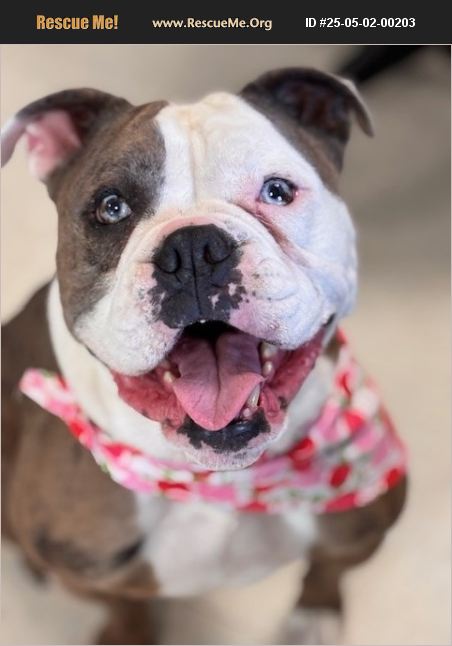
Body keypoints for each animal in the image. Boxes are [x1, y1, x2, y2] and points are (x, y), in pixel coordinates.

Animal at [1, 68, 407, 644]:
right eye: (111, 207)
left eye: (278, 191)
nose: (192, 249)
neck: (221, 481)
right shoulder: (84, 570)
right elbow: (122, 603)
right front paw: (128, 633)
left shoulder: (362, 524)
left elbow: (326, 569)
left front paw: (313, 617)